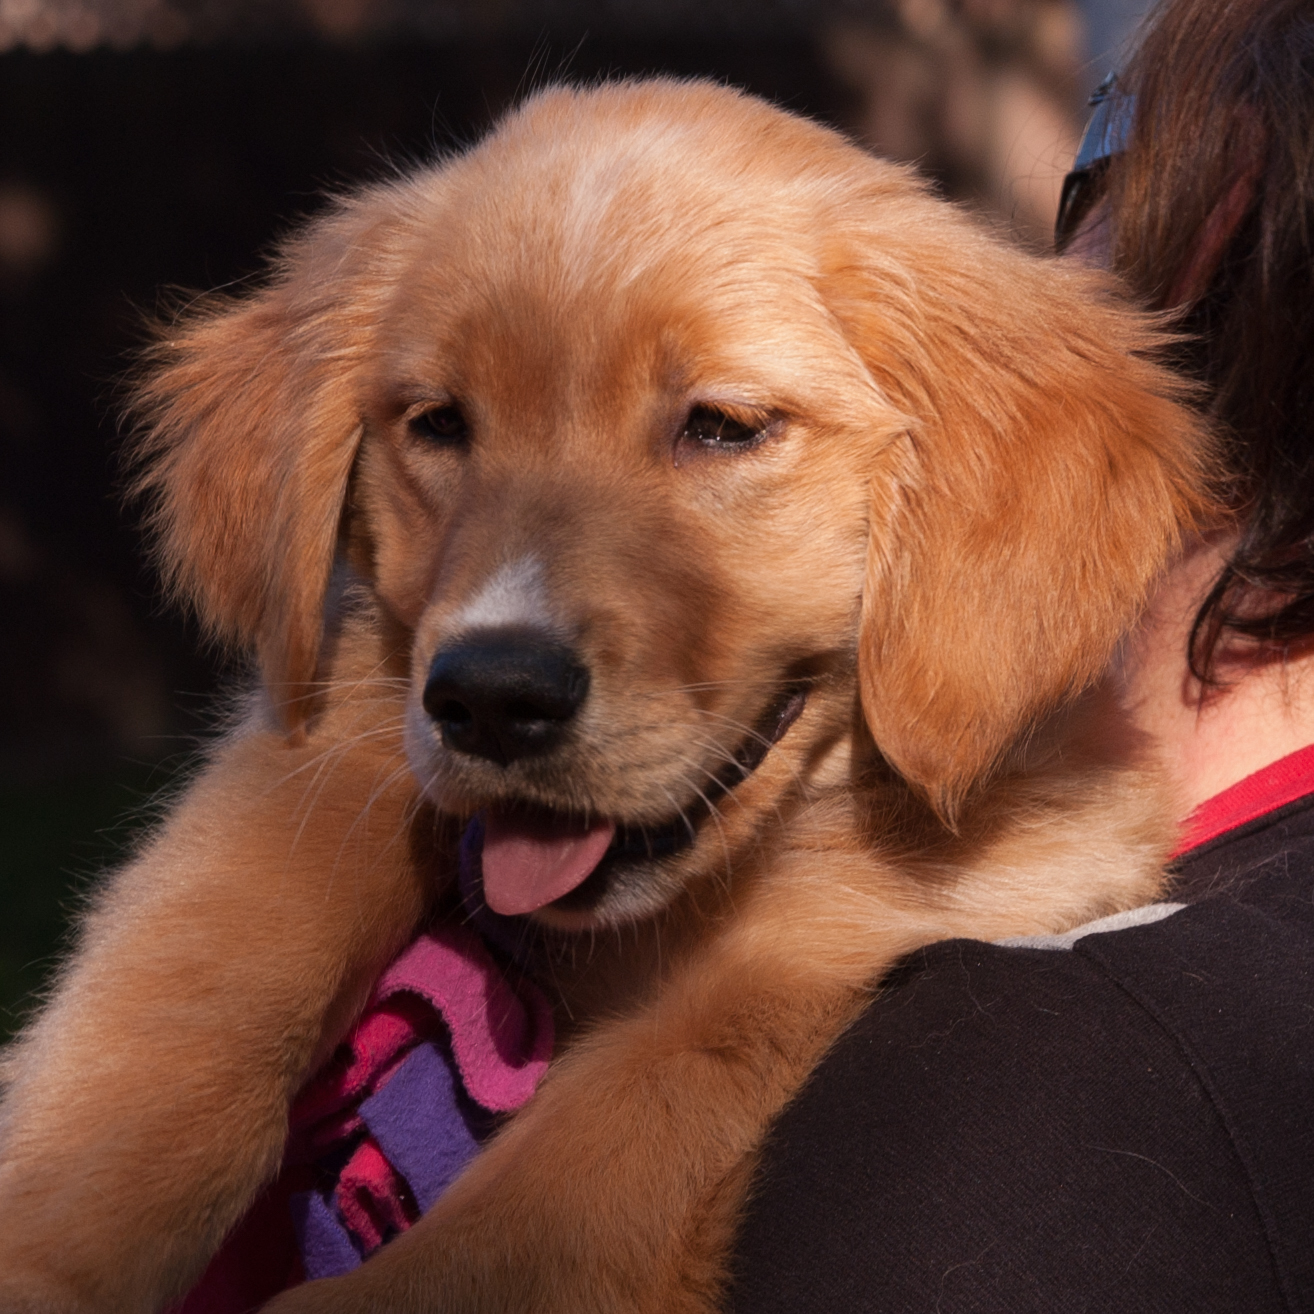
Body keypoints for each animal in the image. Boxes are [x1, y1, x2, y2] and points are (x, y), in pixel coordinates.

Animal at [0, 82, 1208, 1314]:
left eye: (721, 426)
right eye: (440, 423)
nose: (489, 698)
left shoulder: (876, 928)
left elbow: (584, 1168)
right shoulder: (344, 718)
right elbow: (195, 978)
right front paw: (49, 1235)